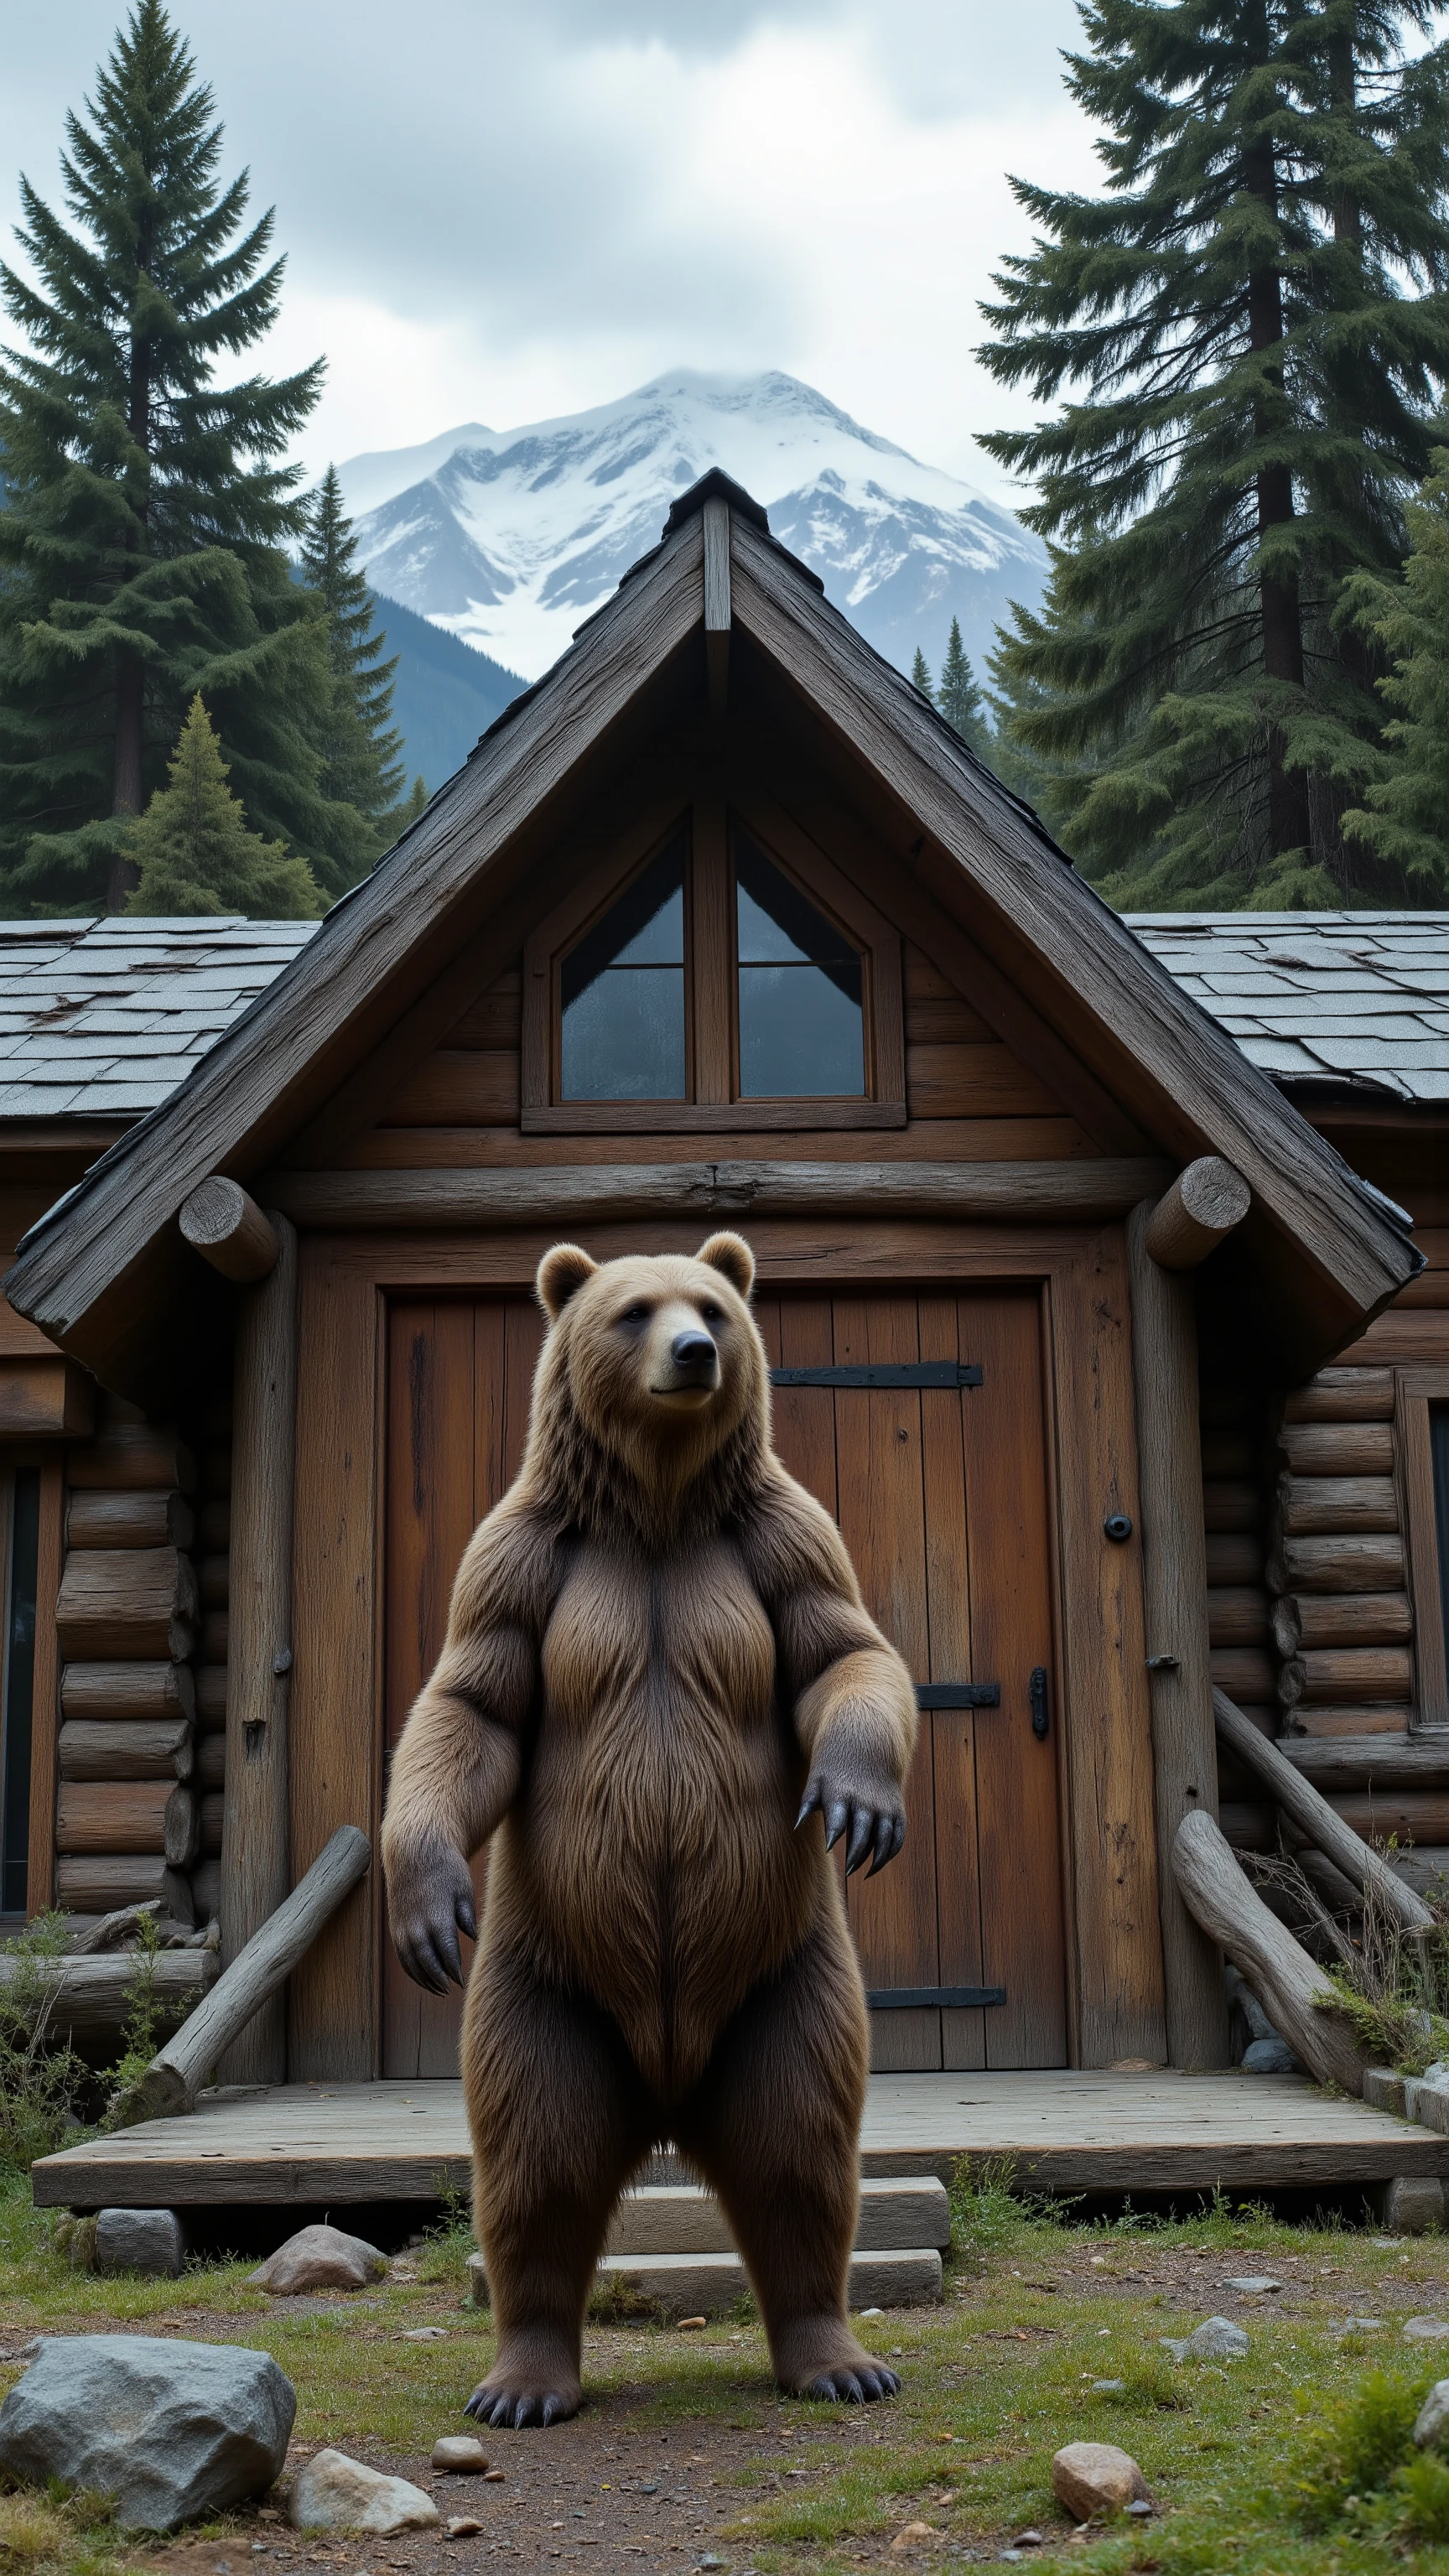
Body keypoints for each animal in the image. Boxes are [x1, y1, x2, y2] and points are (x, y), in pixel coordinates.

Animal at [380, 1230, 918, 2428]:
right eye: (633, 1310)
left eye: (711, 1306)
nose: (693, 1353)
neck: (660, 1506)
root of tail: (670, 2098)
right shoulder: (526, 1558)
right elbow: (472, 1703)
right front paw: (427, 1903)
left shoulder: (777, 1539)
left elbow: (842, 1651)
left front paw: (859, 1802)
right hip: (549, 1983)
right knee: (537, 2162)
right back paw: (522, 2382)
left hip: (783, 1976)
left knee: (800, 2152)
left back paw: (839, 2357)